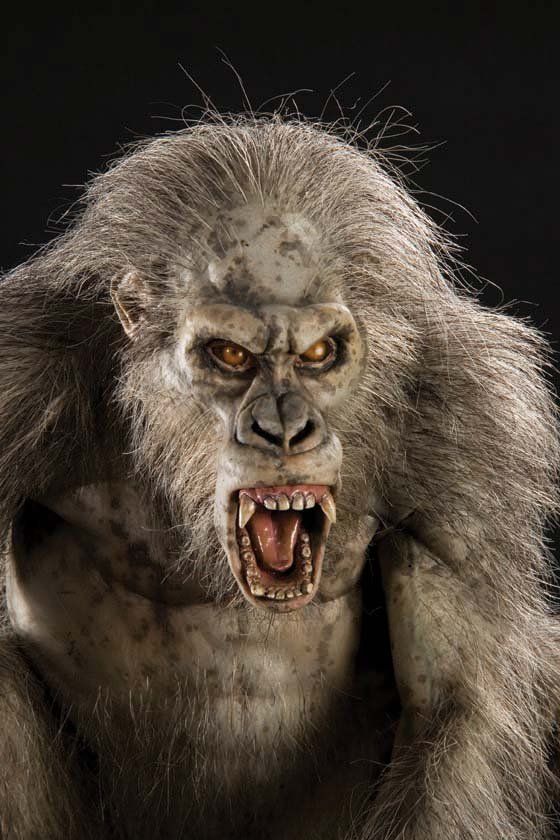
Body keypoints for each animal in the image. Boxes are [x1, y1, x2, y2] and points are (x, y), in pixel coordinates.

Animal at [0, 114, 559, 840]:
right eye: (231, 355)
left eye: (319, 353)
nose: (286, 428)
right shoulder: (18, 381)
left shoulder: (472, 440)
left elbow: (450, 708)